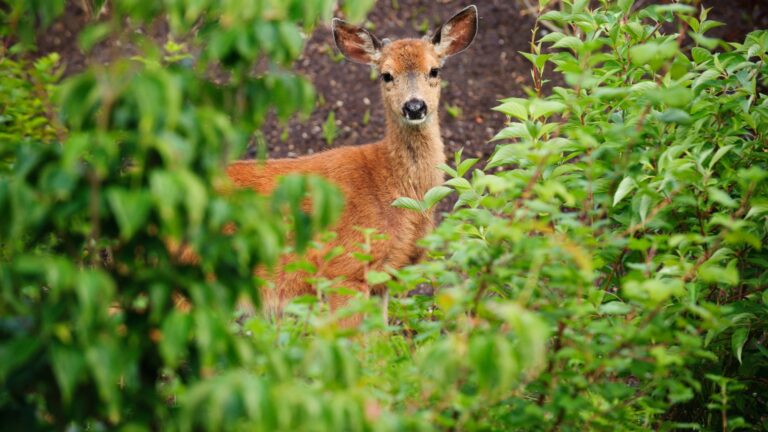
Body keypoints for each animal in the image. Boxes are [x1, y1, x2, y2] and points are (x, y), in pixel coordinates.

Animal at [225, 5, 478, 326]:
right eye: (386, 75)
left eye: (435, 70)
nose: (414, 106)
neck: (392, 186)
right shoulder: (344, 269)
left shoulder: (382, 278)